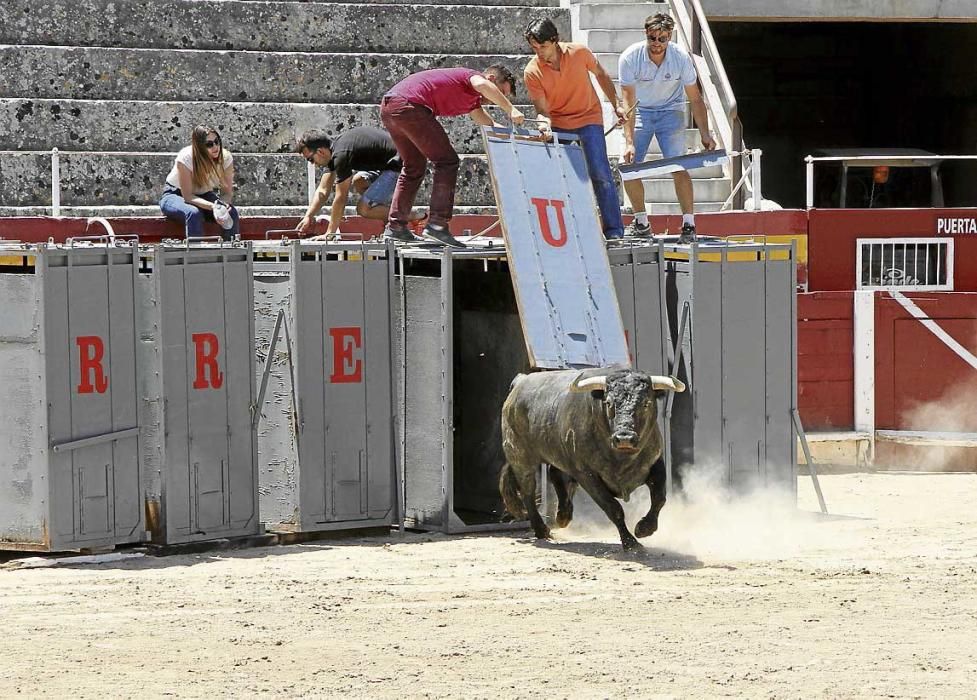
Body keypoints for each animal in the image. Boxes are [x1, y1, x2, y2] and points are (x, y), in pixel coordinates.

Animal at [500, 366, 684, 552]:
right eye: (608, 403)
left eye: (646, 403)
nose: (624, 438)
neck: (621, 458)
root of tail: (520, 381)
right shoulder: (587, 475)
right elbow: (613, 508)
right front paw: (630, 542)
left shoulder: (655, 462)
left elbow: (660, 498)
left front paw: (645, 528)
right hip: (521, 459)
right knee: (528, 492)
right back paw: (541, 529)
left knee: (556, 475)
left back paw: (563, 515)